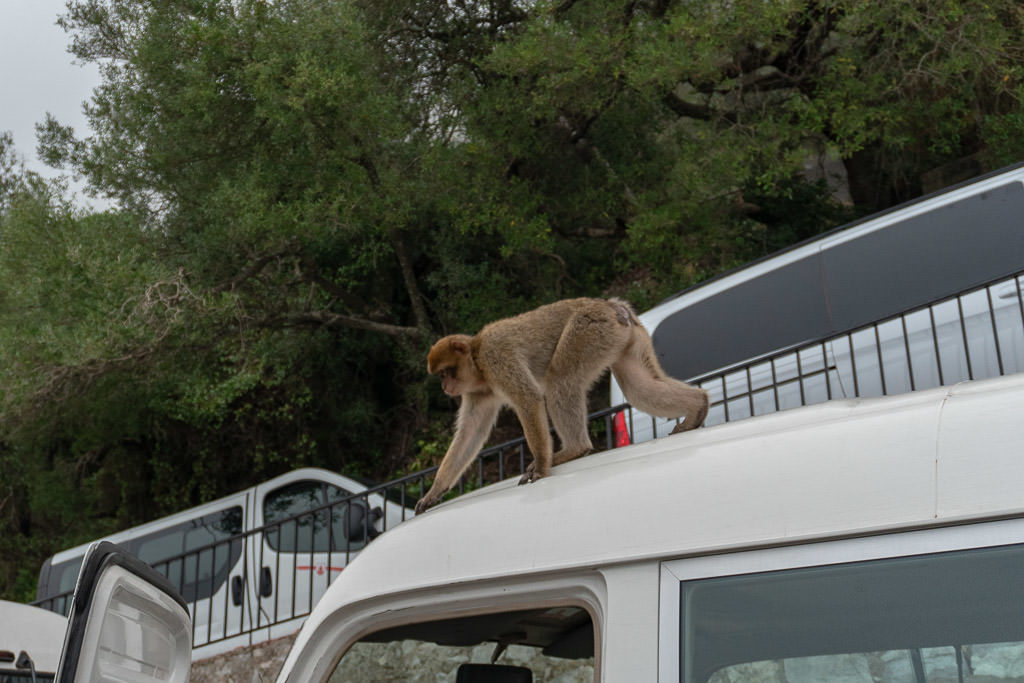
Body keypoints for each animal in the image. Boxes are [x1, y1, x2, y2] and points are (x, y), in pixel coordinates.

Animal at [411, 296, 708, 516]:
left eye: (445, 372)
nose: (445, 387)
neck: (478, 360)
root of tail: (611, 305)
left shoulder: (496, 357)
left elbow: (528, 398)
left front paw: (542, 466)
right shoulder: (478, 392)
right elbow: (470, 431)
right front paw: (435, 491)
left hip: (589, 331)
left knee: (560, 380)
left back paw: (575, 449)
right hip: (623, 337)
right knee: (638, 389)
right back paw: (698, 406)